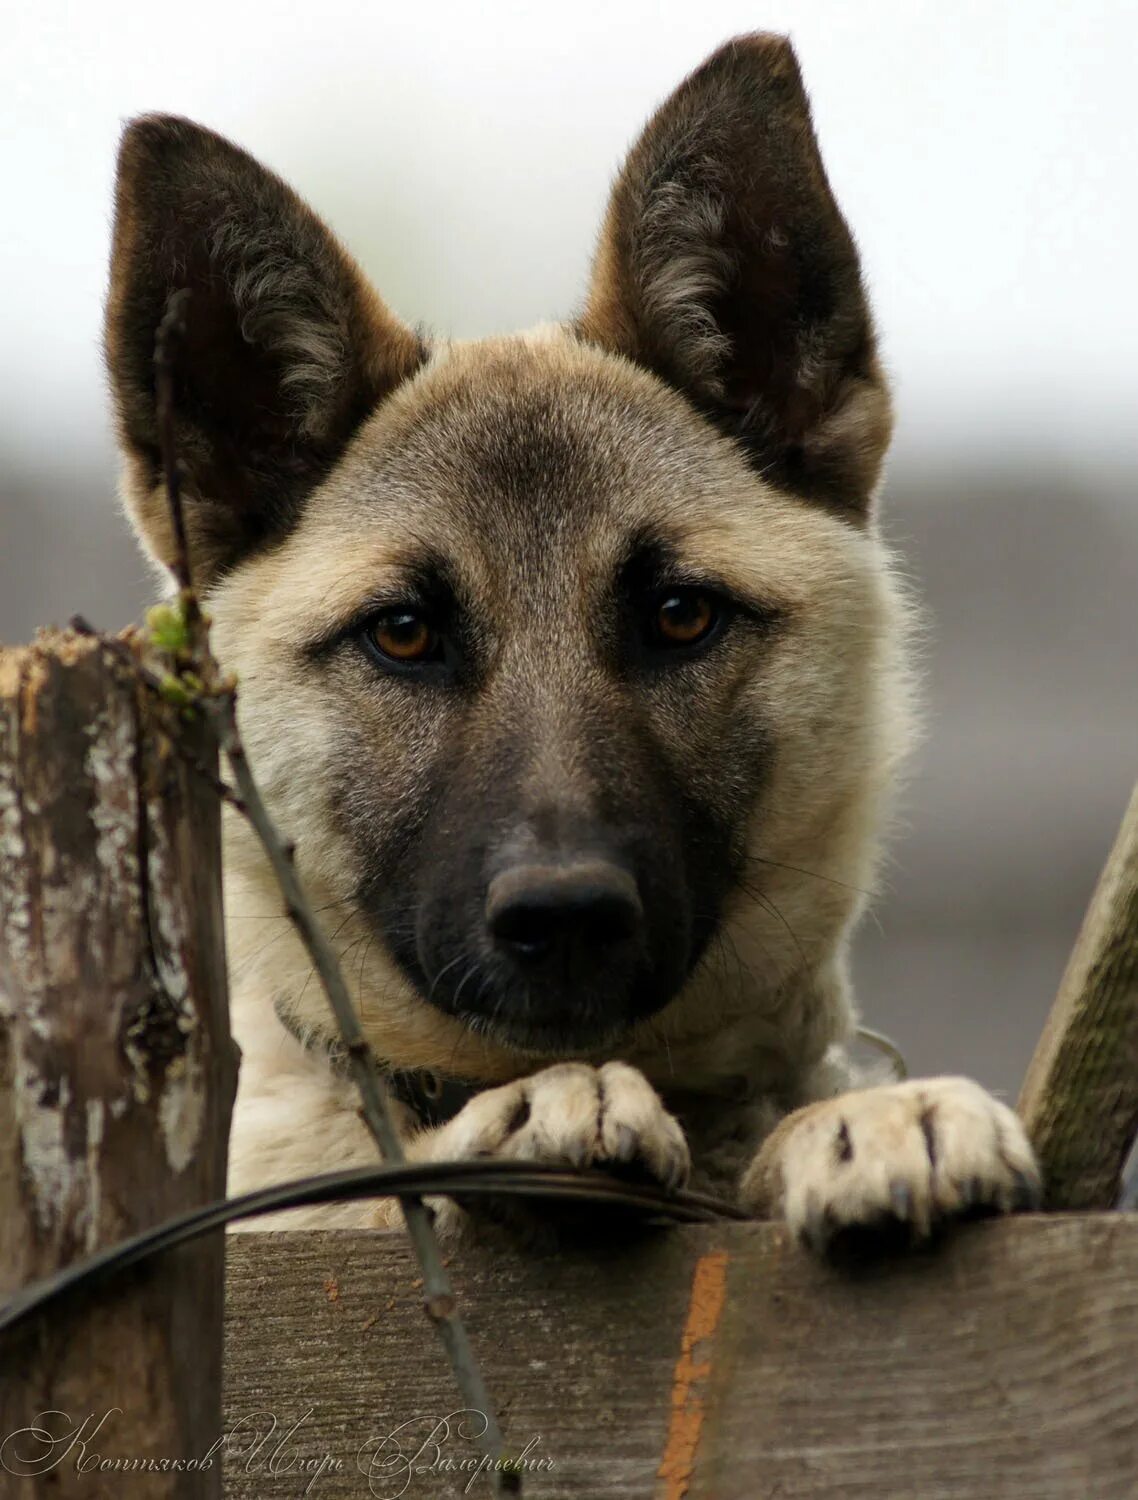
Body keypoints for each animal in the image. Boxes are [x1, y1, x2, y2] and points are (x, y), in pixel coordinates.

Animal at [104, 35, 1043, 1248]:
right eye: (403, 634)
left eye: (680, 615)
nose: (564, 918)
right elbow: (373, 1190)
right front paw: (522, 1119)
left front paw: (863, 1121)